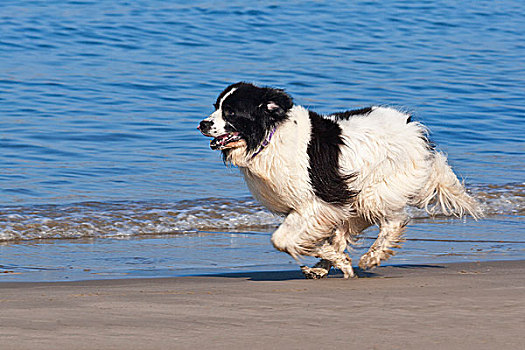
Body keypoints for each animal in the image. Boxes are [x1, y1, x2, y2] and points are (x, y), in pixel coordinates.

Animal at [198, 82, 484, 278]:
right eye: (216, 107)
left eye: (231, 112)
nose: (202, 124)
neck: (270, 135)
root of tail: (415, 131)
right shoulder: (316, 207)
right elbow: (312, 239)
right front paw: (333, 260)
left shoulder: (315, 203)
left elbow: (281, 240)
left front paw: (338, 261)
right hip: (355, 195)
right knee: (349, 229)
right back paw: (327, 266)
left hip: (374, 192)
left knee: (394, 222)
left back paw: (371, 258)